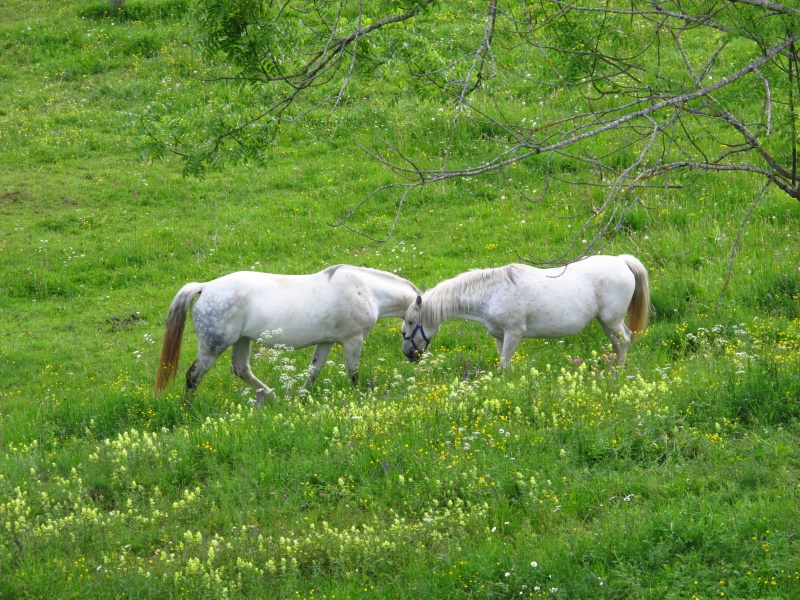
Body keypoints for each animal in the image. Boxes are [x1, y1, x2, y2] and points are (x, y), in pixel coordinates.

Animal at [152, 266, 422, 404]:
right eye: (413, 322)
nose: (414, 355)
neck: (365, 290)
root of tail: (205, 287)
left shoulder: (326, 343)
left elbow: (312, 373)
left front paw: (301, 398)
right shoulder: (352, 341)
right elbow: (353, 374)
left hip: (242, 341)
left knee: (241, 369)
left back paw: (273, 397)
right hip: (212, 347)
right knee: (193, 376)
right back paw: (189, 409)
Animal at [400, 254, 648, 368]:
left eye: (411, 322)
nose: (408, 354)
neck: (492, 292)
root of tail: (621, 261)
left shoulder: (514, 333)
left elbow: (503, 363)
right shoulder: (500, 336)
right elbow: (503, 362)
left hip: (612, 320)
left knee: (625, 339)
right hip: (606, 322)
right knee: (617, 343)